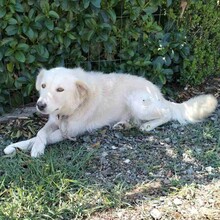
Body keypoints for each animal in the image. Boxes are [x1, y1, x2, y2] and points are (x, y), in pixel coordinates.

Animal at [3, 66, 218, 156]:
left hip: (137, 102)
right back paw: (123, 125)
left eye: (60, 89)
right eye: (44, 86)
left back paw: (148, 126)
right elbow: (39, 133)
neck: (72, 107)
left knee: (165, 113)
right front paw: (16, 146)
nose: (40, 105)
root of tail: (157, 92)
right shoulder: (54, 120)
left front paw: (35, 149)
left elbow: (46, 137)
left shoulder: (70, 132)